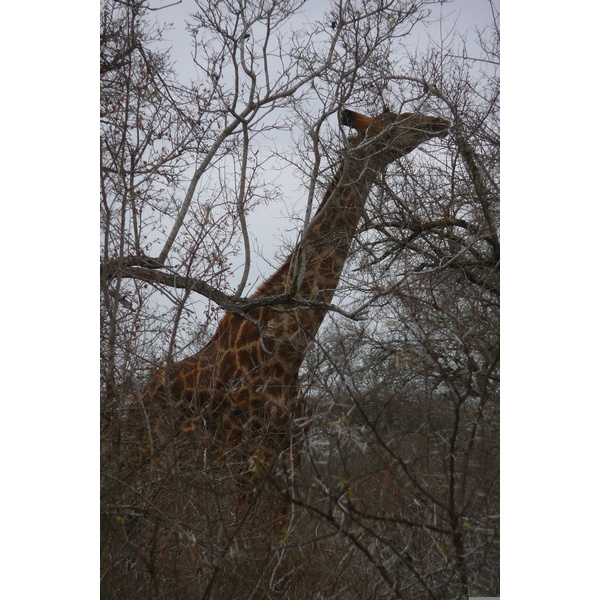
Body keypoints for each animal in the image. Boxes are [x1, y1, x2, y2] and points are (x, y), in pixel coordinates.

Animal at [132, 109, 450, 488]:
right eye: (392, 125)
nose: (438, 122)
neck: (287, 349)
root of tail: (138, 395)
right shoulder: (239, 449)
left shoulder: (292, 450)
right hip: (160, 456)